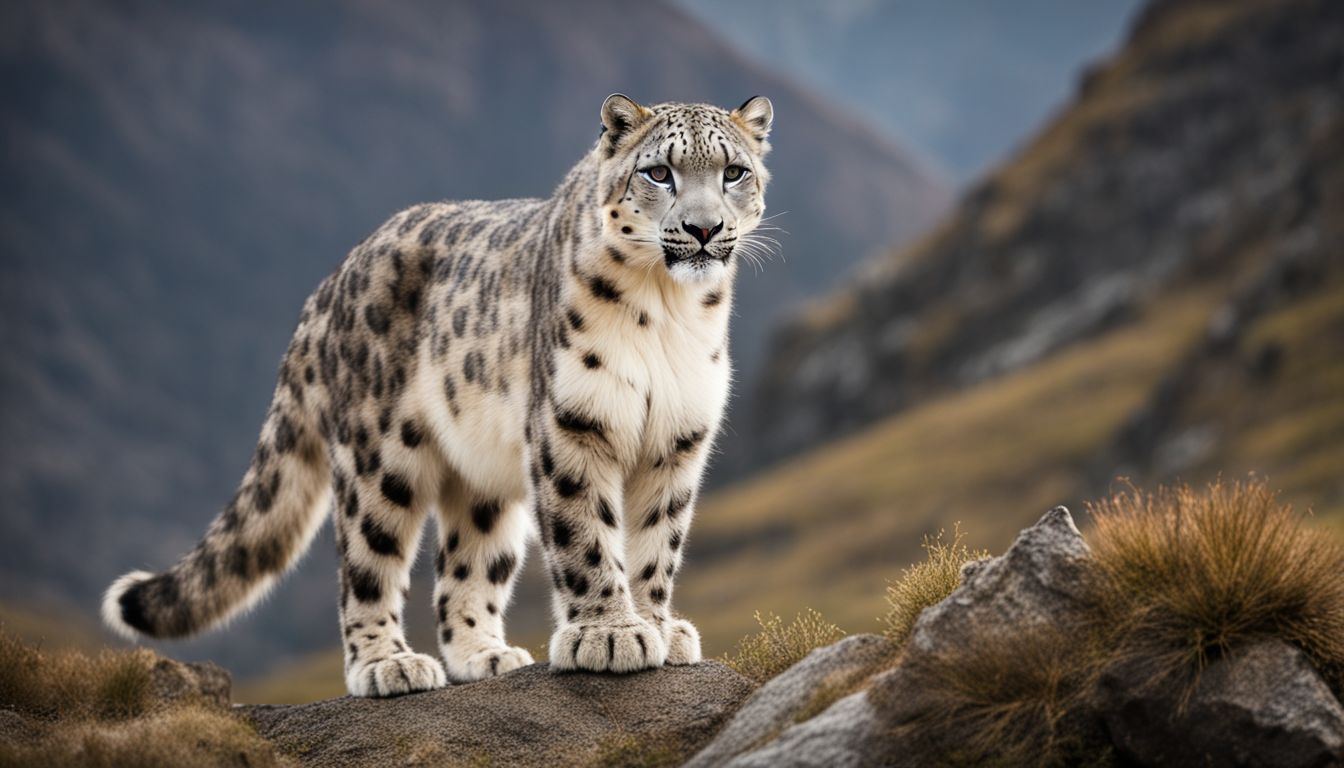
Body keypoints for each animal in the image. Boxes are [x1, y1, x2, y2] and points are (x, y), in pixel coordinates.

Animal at [102, 93, 774, 697]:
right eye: (659, 172)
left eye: (733, 172)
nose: (704, 227)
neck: (668, 310)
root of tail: (329, 283)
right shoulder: (572, 423)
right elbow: (586, 532)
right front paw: (608, 634)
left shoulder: (677, 438)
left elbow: (657, 542)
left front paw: (658, 626)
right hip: (378, 460)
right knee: (365, 568)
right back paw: (388, 666)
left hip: (481, 482)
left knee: (463, 569)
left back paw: (486, 655)